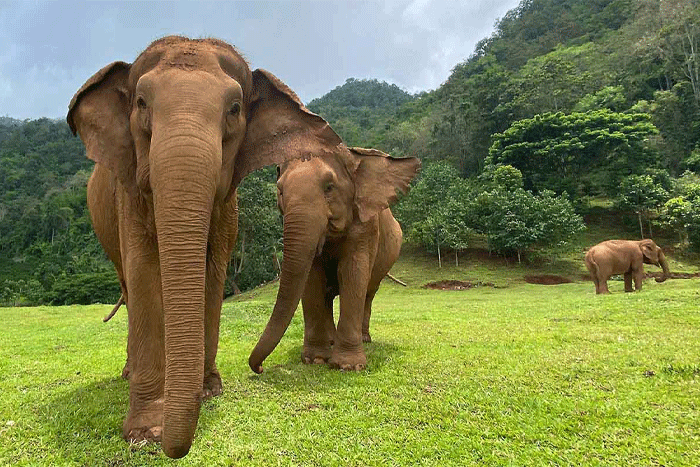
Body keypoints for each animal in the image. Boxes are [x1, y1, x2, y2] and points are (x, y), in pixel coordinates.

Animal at [67, 36, 340, 460]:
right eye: (141, 103)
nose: (260, 370)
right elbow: (144, 272)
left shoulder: (229, 207)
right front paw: (146, 432)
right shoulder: (128, 195)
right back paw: (128, 373)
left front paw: (209, 391)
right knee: (129, 285)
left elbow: (213, 275)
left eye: (234, 109)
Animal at [249, 148, 418, 374]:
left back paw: (364, 339)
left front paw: (348, 366)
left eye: (329, 187)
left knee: (368, 293)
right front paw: (316, 360)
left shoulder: (366, 224)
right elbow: (311, 278)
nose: (260, 368)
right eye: (281, 191)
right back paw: (331, 341)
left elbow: (353, 273)